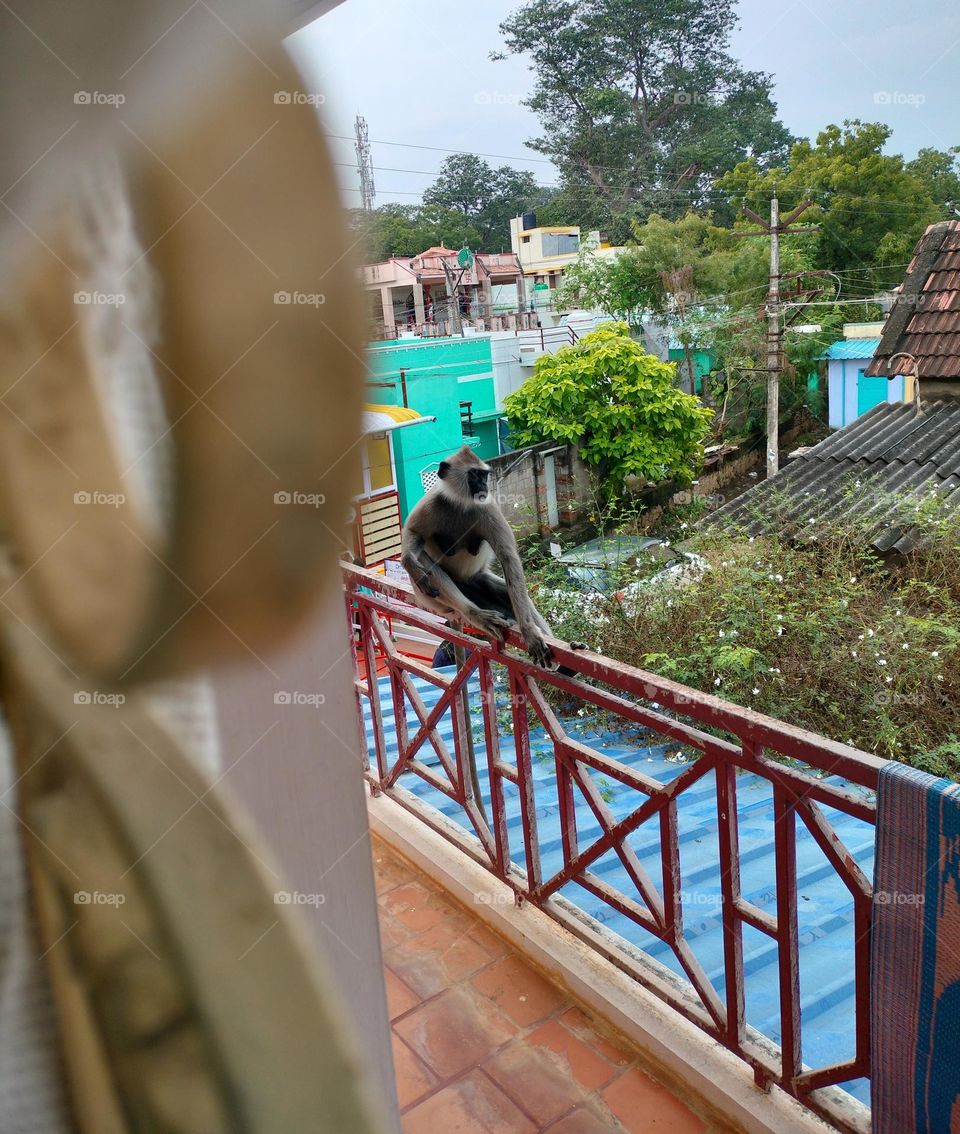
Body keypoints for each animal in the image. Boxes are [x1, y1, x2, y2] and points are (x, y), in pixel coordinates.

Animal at [401, 446, 555, 667]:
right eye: (474, 475)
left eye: (484, 475)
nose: (483, 484)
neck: (460, 504)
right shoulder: (431, 503)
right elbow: (412, 533)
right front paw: (408, 563)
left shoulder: (487, 506)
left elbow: (509, 559)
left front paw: (529, 633)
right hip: (432, 599)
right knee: (422, 558)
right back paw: (476, 615)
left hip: (477, 580)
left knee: (510, 592)